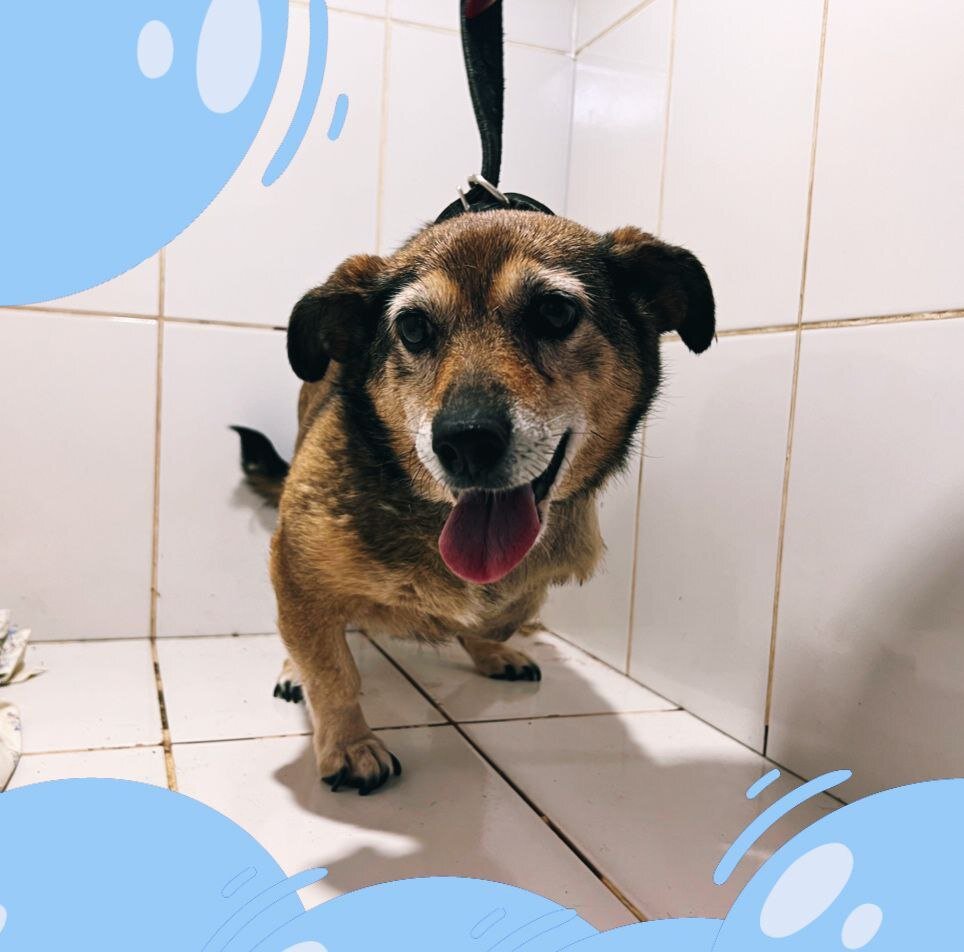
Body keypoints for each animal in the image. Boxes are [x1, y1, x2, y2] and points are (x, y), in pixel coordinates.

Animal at [234, 209, 714, 794]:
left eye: (556, 311)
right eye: (413, 327)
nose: (465, 441)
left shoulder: (546, 570)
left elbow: (495, 615)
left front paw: (488, 643)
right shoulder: (297, 566)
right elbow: (331, 668)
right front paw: (350, 744)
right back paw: (292, 673)